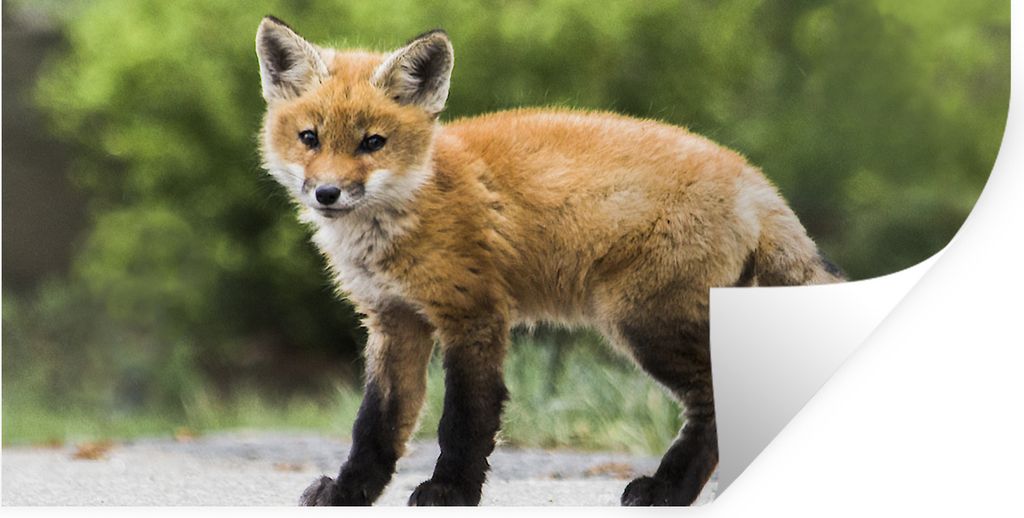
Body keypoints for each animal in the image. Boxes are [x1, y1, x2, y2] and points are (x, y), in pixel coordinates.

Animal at [255, 16, 843, 507]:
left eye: (372, 143)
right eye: (309, 138)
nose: (327, 193)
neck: (411, 207)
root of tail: (755, 180)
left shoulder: (474, 315)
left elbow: (465, 420)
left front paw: (450, 491)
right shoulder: (394, 322)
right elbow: (375, 426)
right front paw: (348, 493)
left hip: (644, 323)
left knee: (715, 400)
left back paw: (667, 489)